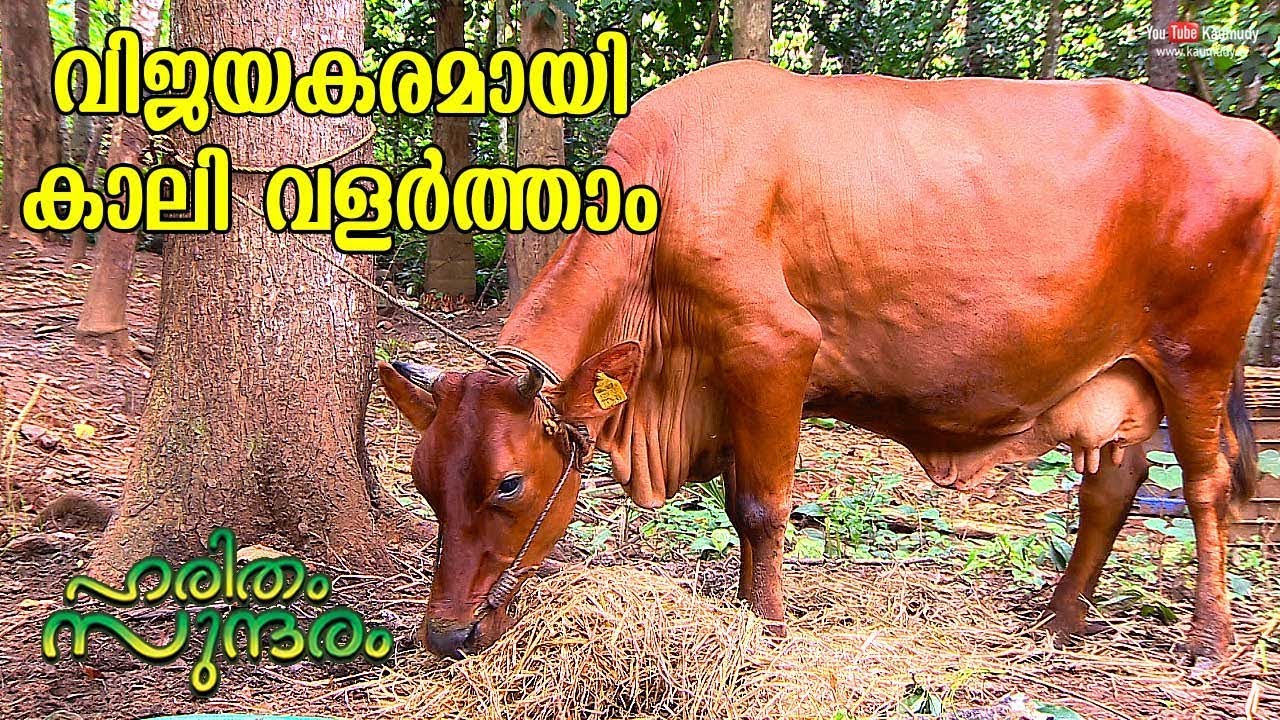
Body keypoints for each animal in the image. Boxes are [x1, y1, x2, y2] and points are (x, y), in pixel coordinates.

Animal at [377, 61, 1280, 667]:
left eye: (508, 483)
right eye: (423, 482)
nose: (446, 633)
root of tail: (1245, 130)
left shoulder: (774, 347)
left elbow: (760, 507)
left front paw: (767, 624)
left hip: (1197, 354)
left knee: (1208, 489)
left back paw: (1210, 639)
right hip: (1120, 377)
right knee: (1114, 484)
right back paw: (1061, 618)